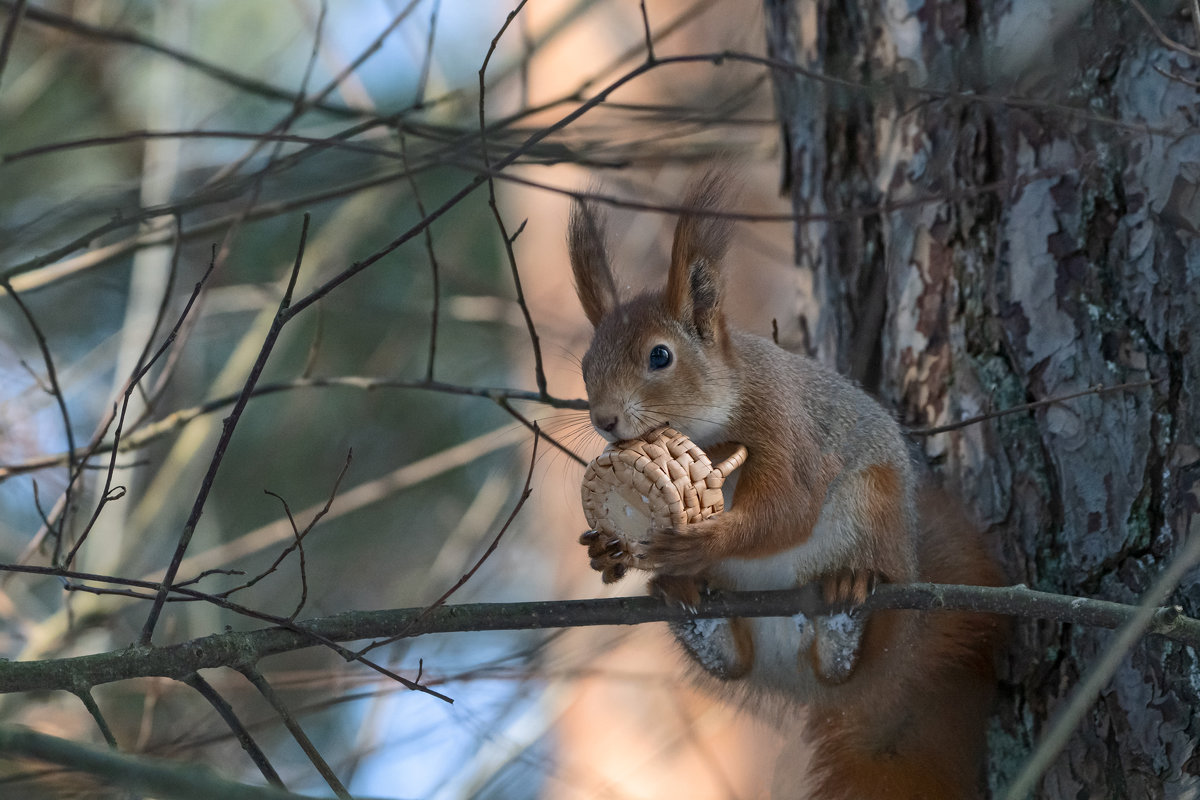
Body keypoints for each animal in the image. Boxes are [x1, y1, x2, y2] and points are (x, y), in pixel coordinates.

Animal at [566, 172, 1008, 800]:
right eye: (585, 365)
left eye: (660, 356)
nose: (603, 420)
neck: (705, 431)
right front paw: (606, 548)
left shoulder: (785, 423)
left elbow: (790, 506)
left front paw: (705, 539)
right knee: (735, 661)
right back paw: (687, 605)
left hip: (875, 520)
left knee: (852, 657)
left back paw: (847, 605)